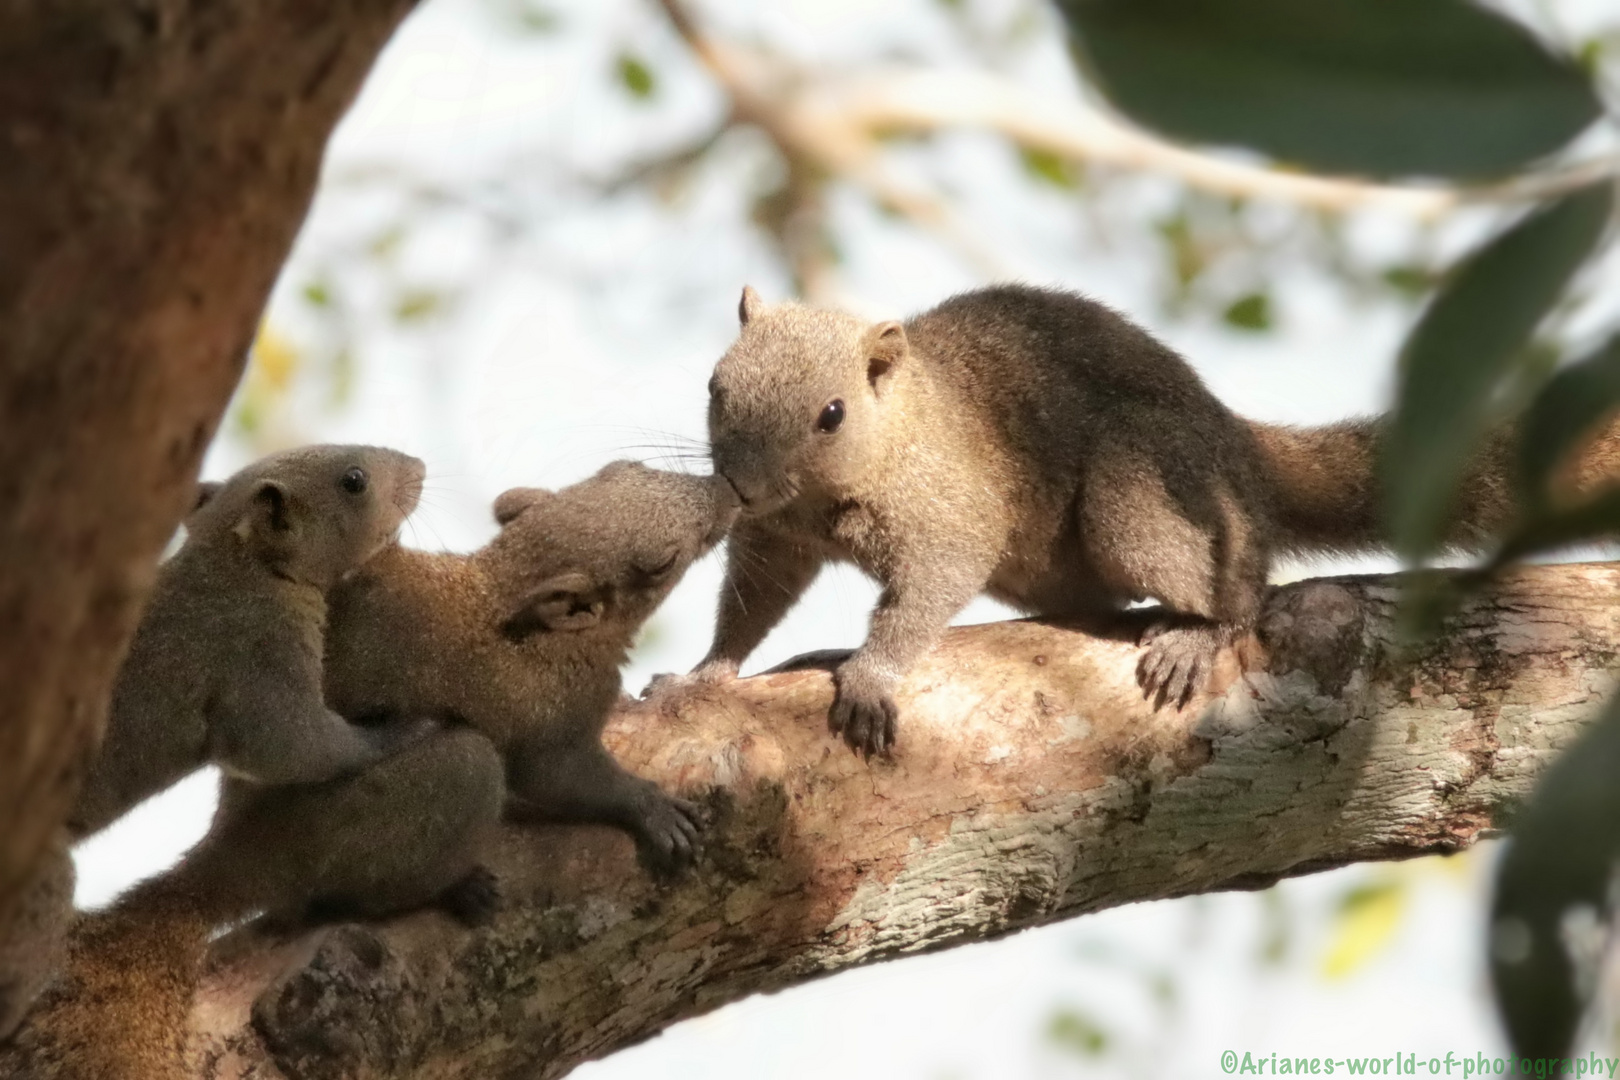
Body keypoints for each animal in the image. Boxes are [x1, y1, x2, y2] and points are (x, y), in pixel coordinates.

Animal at [69, 443, 430, 841]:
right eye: (354, 480)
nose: (420, 465)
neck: (242, 566)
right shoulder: (258, 655)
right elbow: (295, 744)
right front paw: (403, 730)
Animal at [324, 459, 741, 874]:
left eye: (624, 465)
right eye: (662, 564)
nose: (729, 488)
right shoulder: (547, 718)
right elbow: (559, 777)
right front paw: (654, 809)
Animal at [696, 286, 1620, 757]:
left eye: (831, 414)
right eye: (715, 384)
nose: (738, 483)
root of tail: (1238, 449)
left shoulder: (946, 512)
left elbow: (926, 588)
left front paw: (872, 675)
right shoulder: (775, 536)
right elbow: (753, 597)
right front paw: (709, 672)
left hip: (1142, 497)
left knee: (1244, 587)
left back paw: (1202, 634)